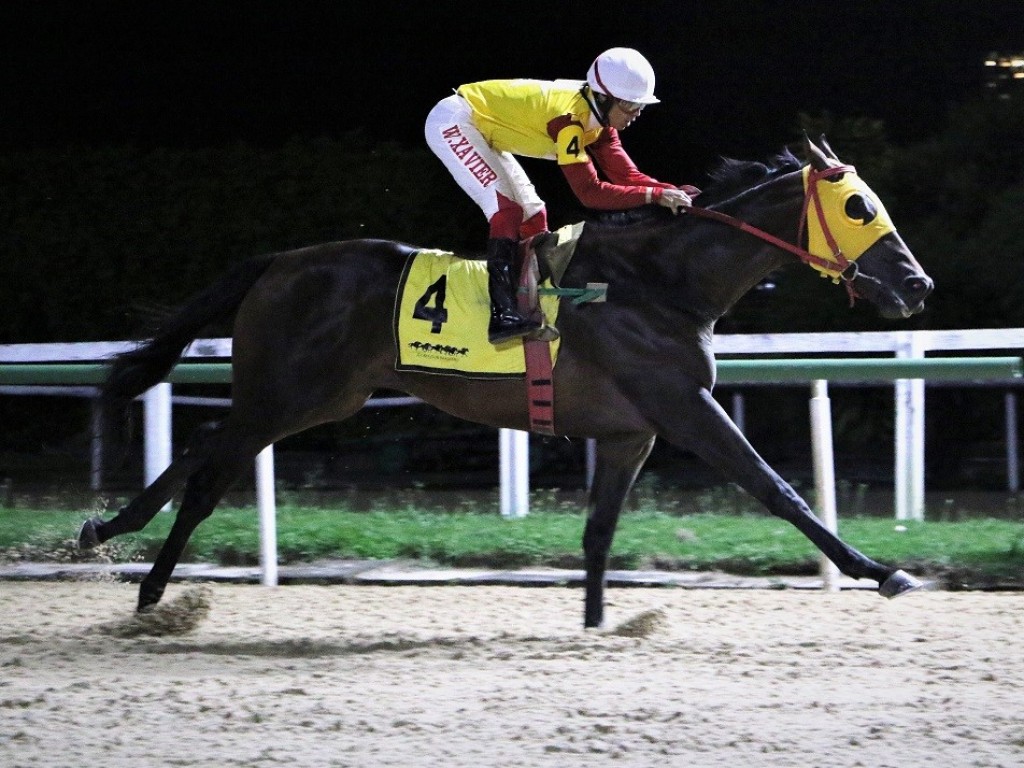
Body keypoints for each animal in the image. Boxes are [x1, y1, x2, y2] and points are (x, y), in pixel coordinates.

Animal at [75, 137, 933, 630]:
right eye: (861, 207)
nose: (917, 285)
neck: (659, 282)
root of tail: (279, 263)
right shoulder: (685, 409)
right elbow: (777, 490)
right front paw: (882, 571)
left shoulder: (632, 431)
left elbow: (599, 531)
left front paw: (595, 623)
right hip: (288, 393)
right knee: (208, 473)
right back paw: (151, 594)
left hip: (312, 396)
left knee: (201, 444)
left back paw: (107, 532)